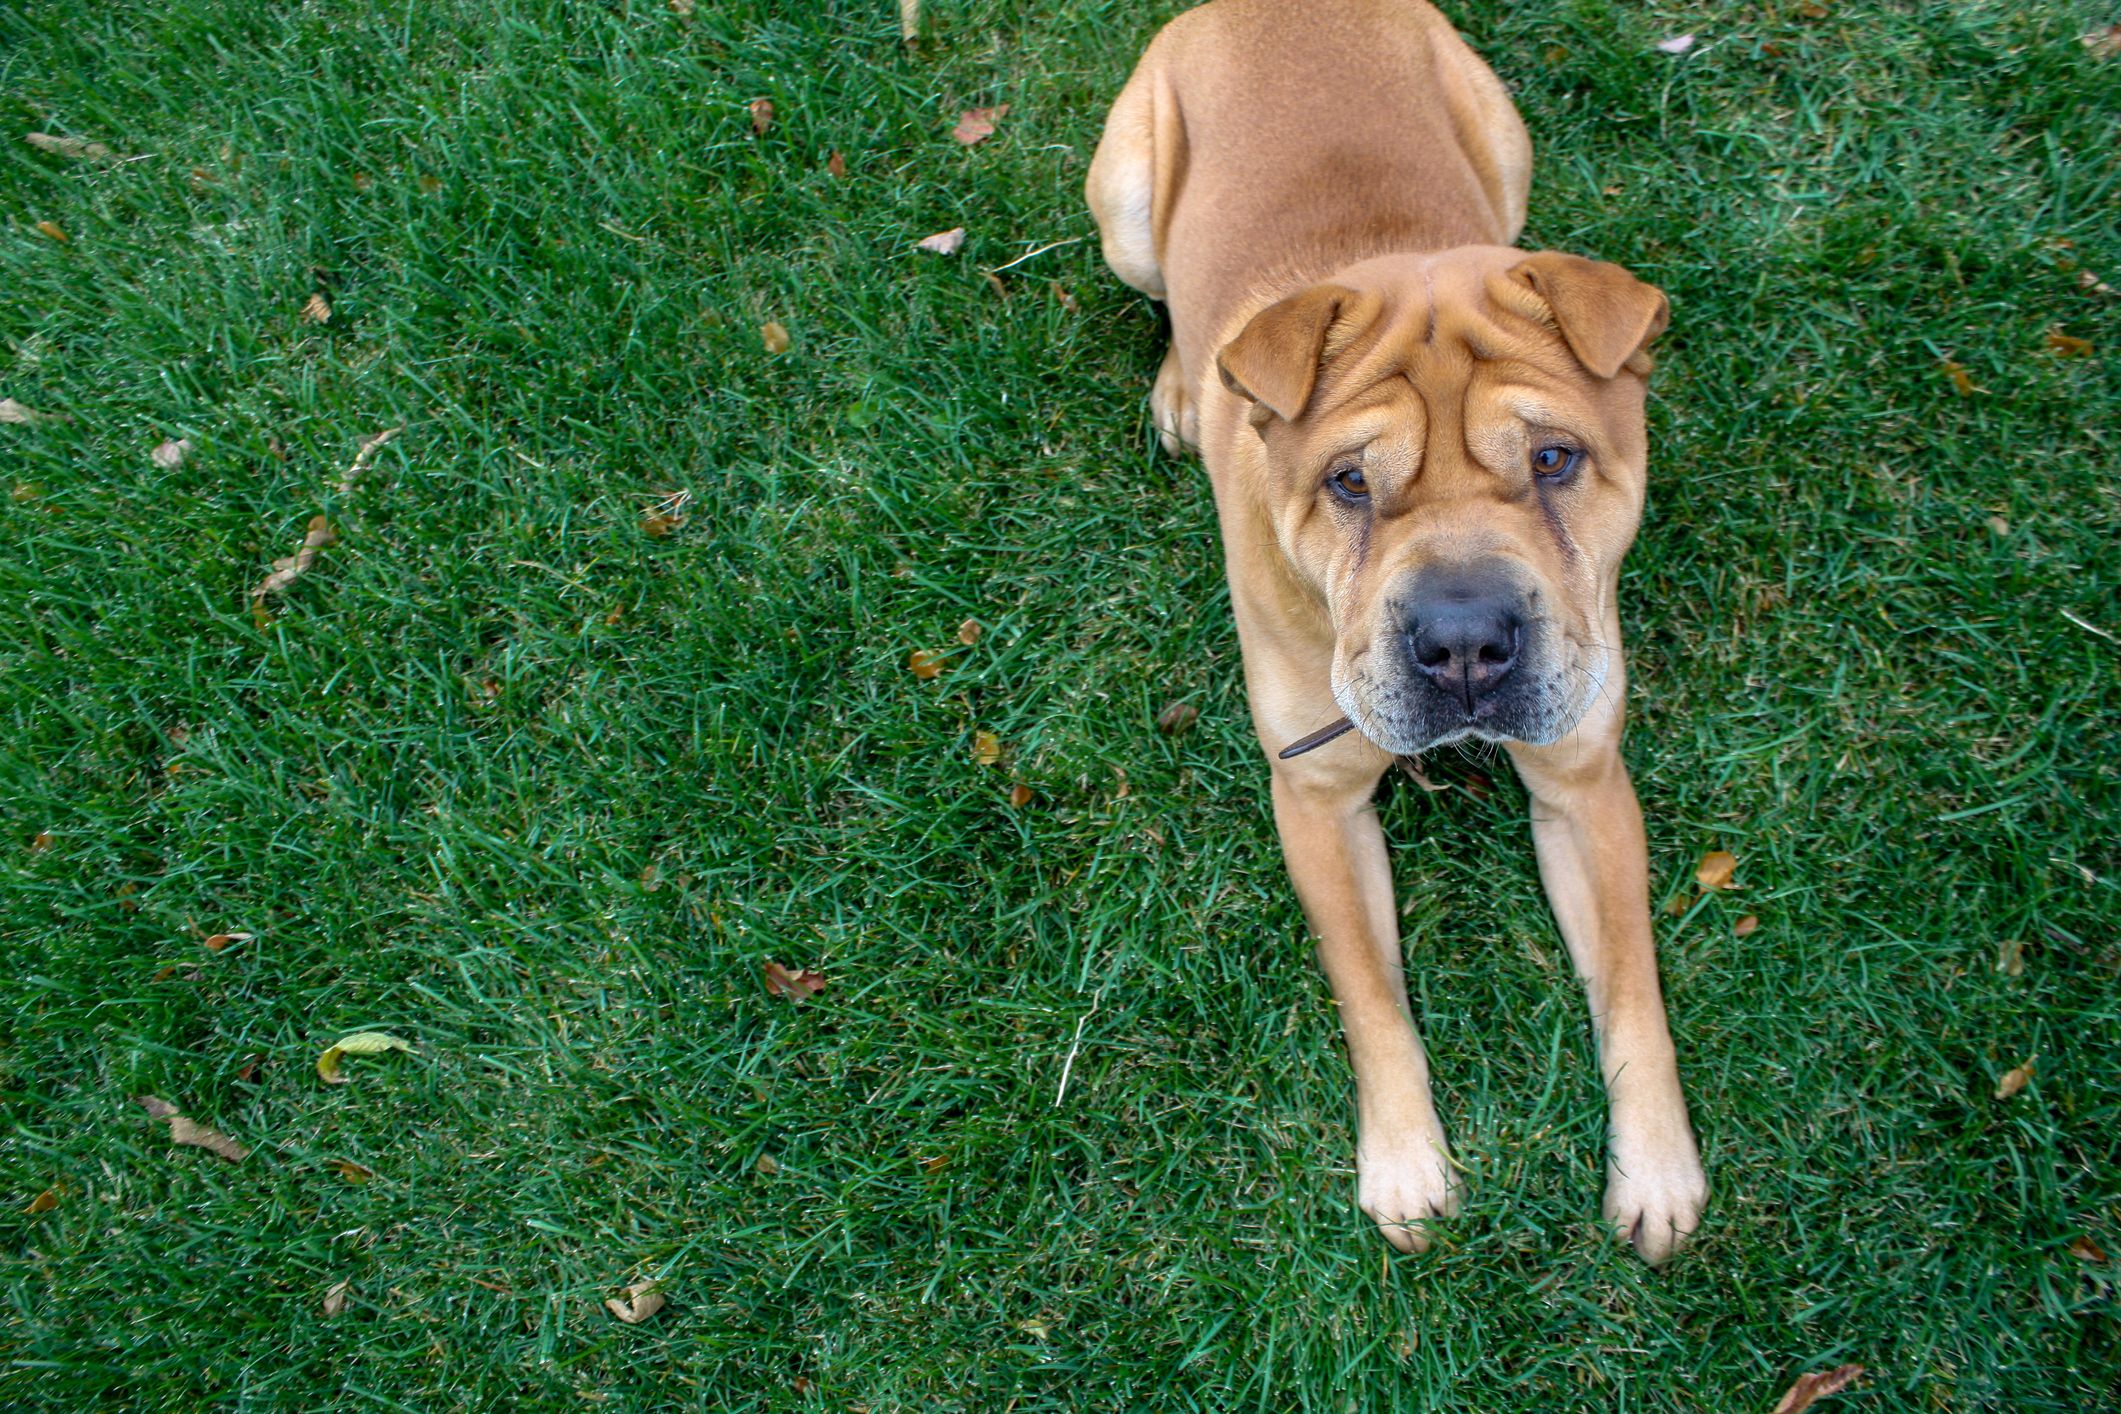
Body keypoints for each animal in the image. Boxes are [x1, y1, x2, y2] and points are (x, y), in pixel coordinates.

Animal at [1094, 0, 1705, 1263]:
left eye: (1555, 459)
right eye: (1349, 484)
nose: (1465, 639)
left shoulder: (1582, 781)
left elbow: (1633, 990)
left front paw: (1659, 1169)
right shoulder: (1315, 797)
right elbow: (1372, 996)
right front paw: (1407, 1164)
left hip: (1503, 142)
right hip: (1122, 203)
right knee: (1166, 295)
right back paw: (1184, 385)